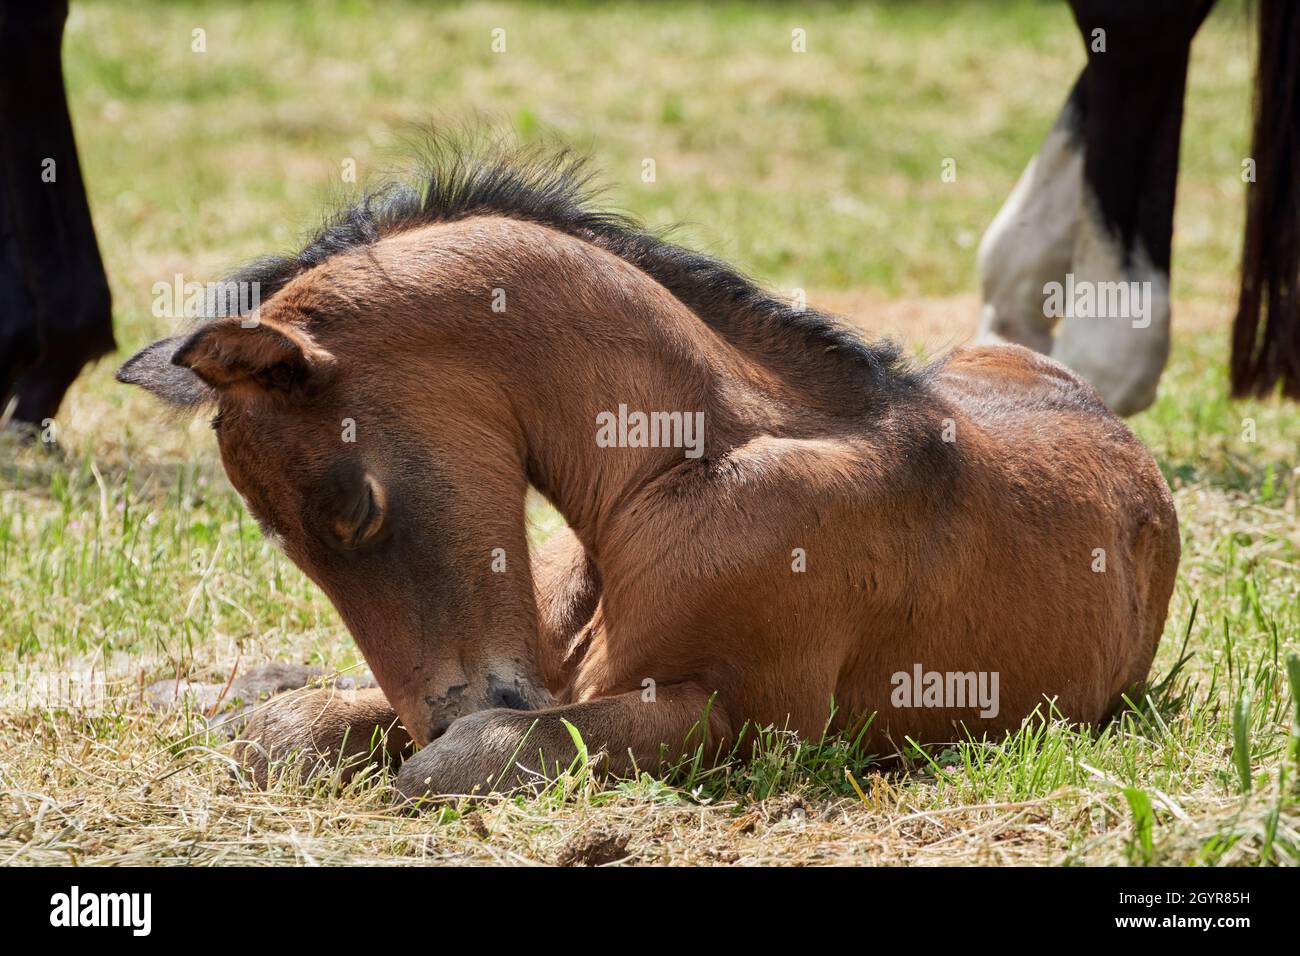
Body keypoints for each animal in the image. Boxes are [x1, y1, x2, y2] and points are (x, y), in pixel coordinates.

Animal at [117, 142, 1180, 800]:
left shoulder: (750, 723)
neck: (678, 465)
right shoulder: (545, 659)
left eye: (352, 508)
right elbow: (297, 731)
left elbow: (460, 756)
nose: (455, 701)